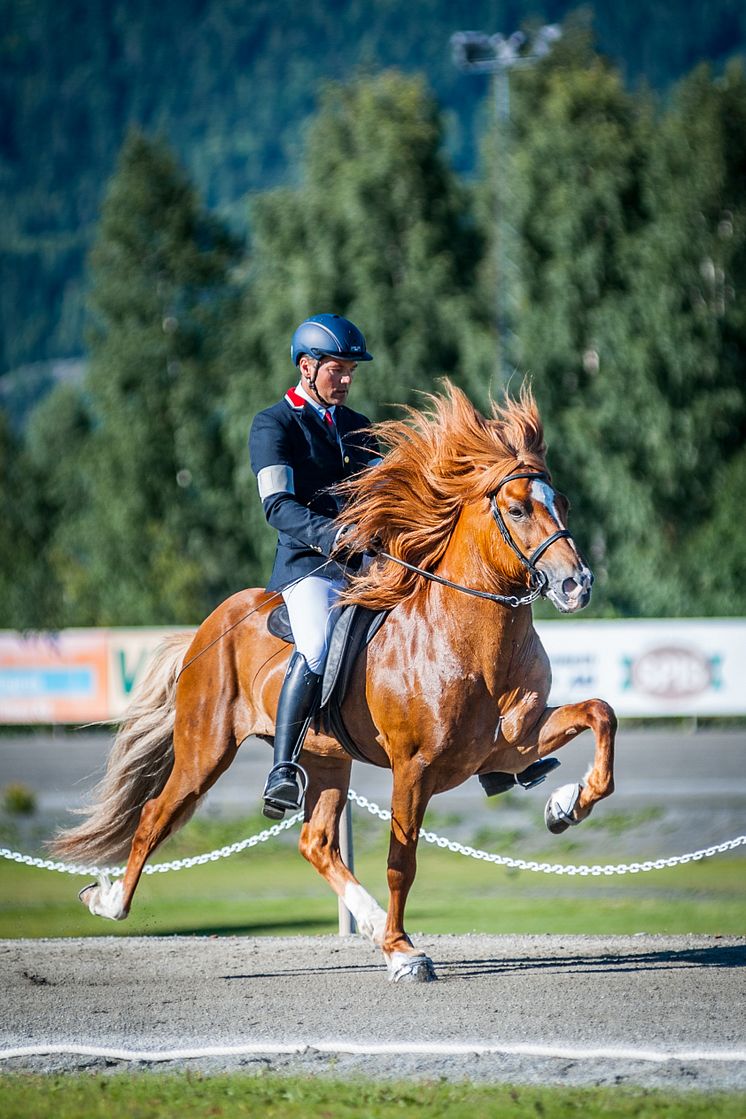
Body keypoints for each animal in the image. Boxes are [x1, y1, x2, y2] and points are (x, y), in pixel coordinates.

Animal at [51, 382, 612, 980]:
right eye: (517, 508)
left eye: (562, 504)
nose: (577, 584)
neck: (471, 645)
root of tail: (207, 629)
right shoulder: (413, 768)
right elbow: (401, 861)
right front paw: (403, 952)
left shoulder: (511, 743)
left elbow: (600, 713)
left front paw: (566, 805)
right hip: (205, 749)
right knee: (156, 815)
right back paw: (110, 902)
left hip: (325, 758)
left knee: (315, 842)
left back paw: (369, 924)